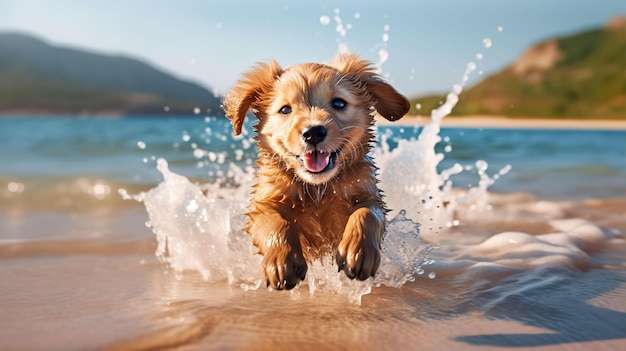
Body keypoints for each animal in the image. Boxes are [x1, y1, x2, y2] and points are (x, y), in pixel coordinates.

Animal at [223, 53, 410, 290]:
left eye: (339, 103)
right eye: (285, 109)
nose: (313, 133)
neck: (317, 188)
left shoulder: (367, 192)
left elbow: (367, 213)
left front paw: (358, 250)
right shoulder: (265, 201)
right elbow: (272, 221)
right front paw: (281, 260)